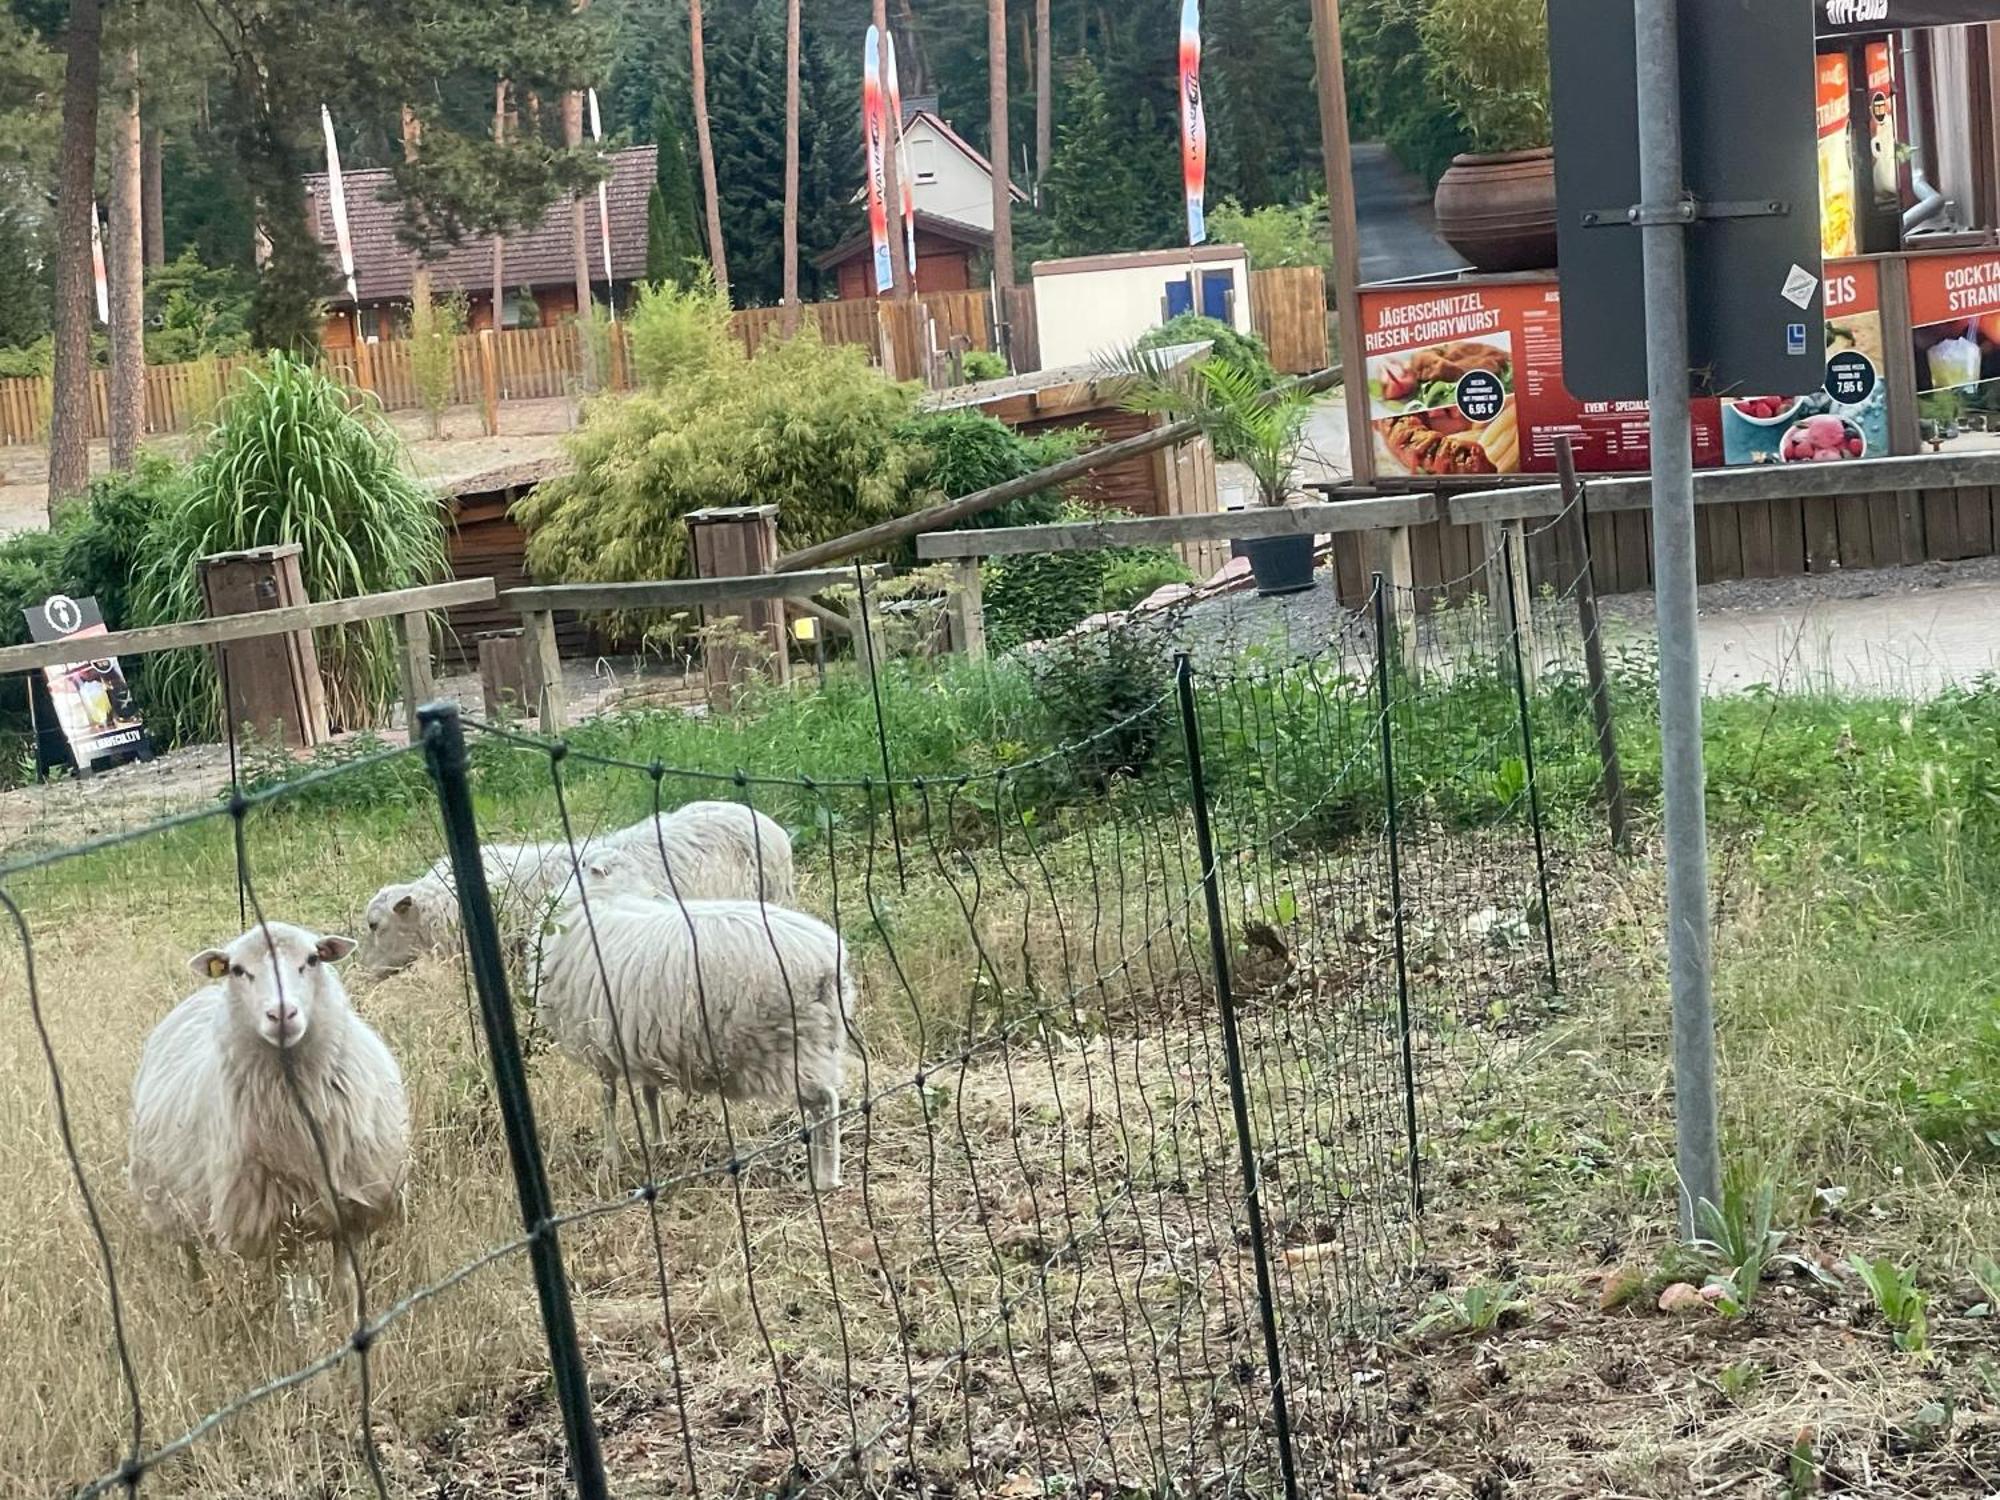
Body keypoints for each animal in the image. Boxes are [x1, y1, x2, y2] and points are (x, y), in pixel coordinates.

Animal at [128, 924, 410, 1296]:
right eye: (237, 969)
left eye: (313, 959)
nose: (282, 1014)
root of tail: (202, 995)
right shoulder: (278, 1226)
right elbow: (300, 1297)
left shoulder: (351, 1211)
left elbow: (346, 1285)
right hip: (169, 1203)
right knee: (191, 1256)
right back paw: (199, 1296)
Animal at [540, 892, 860, 1200]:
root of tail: (826, 962)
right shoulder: (641, 1043)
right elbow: (649, 1095)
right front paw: (659, 1143)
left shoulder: (599, 1046)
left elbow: (608, 1101)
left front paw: (610, 1160)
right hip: (816, 1040)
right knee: (820, 1106)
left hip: (785, 1047)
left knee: (825, 1102)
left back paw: (825, 1178)